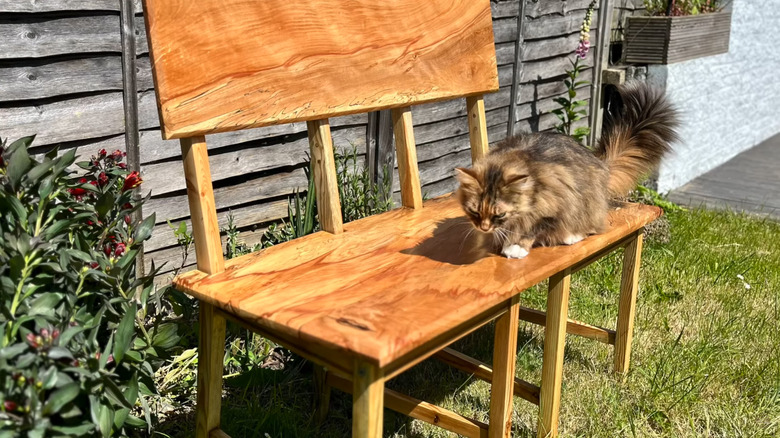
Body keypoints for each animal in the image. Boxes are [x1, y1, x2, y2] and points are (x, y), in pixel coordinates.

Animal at [454, 81, 680, 258]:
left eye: (499, 214)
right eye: (474, 211)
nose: (483, 228)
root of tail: (600, 163)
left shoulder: (554, 205)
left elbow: (532, 229)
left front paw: (516, 247)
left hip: (585, 204)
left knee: (589, 227)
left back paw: (571, 236)